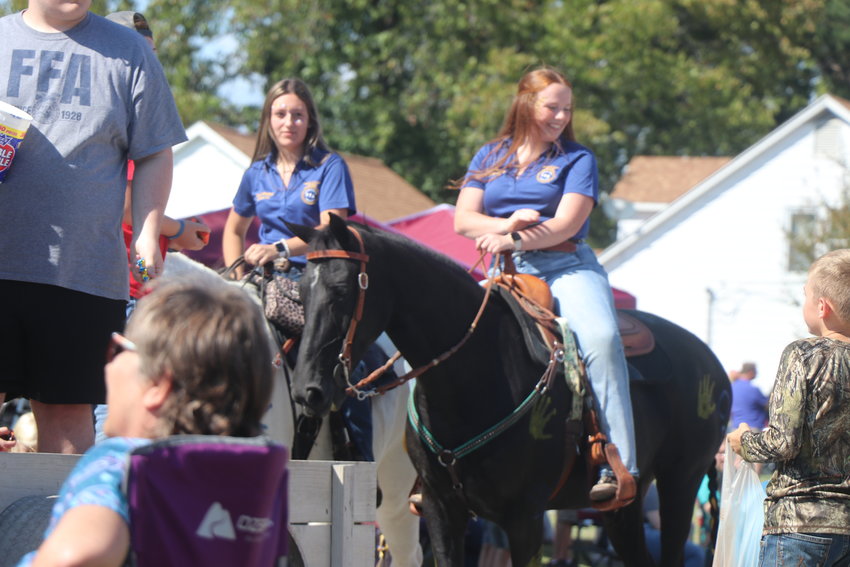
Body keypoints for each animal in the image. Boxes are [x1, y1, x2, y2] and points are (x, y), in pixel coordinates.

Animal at [292, 217, 728, 567]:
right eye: (301, 292)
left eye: (342, 287)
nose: (307, 389)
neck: (474, 376)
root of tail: (710, 361)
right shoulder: (440, 510)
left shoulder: (525, 518)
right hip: (625, 507)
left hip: (680, 483)